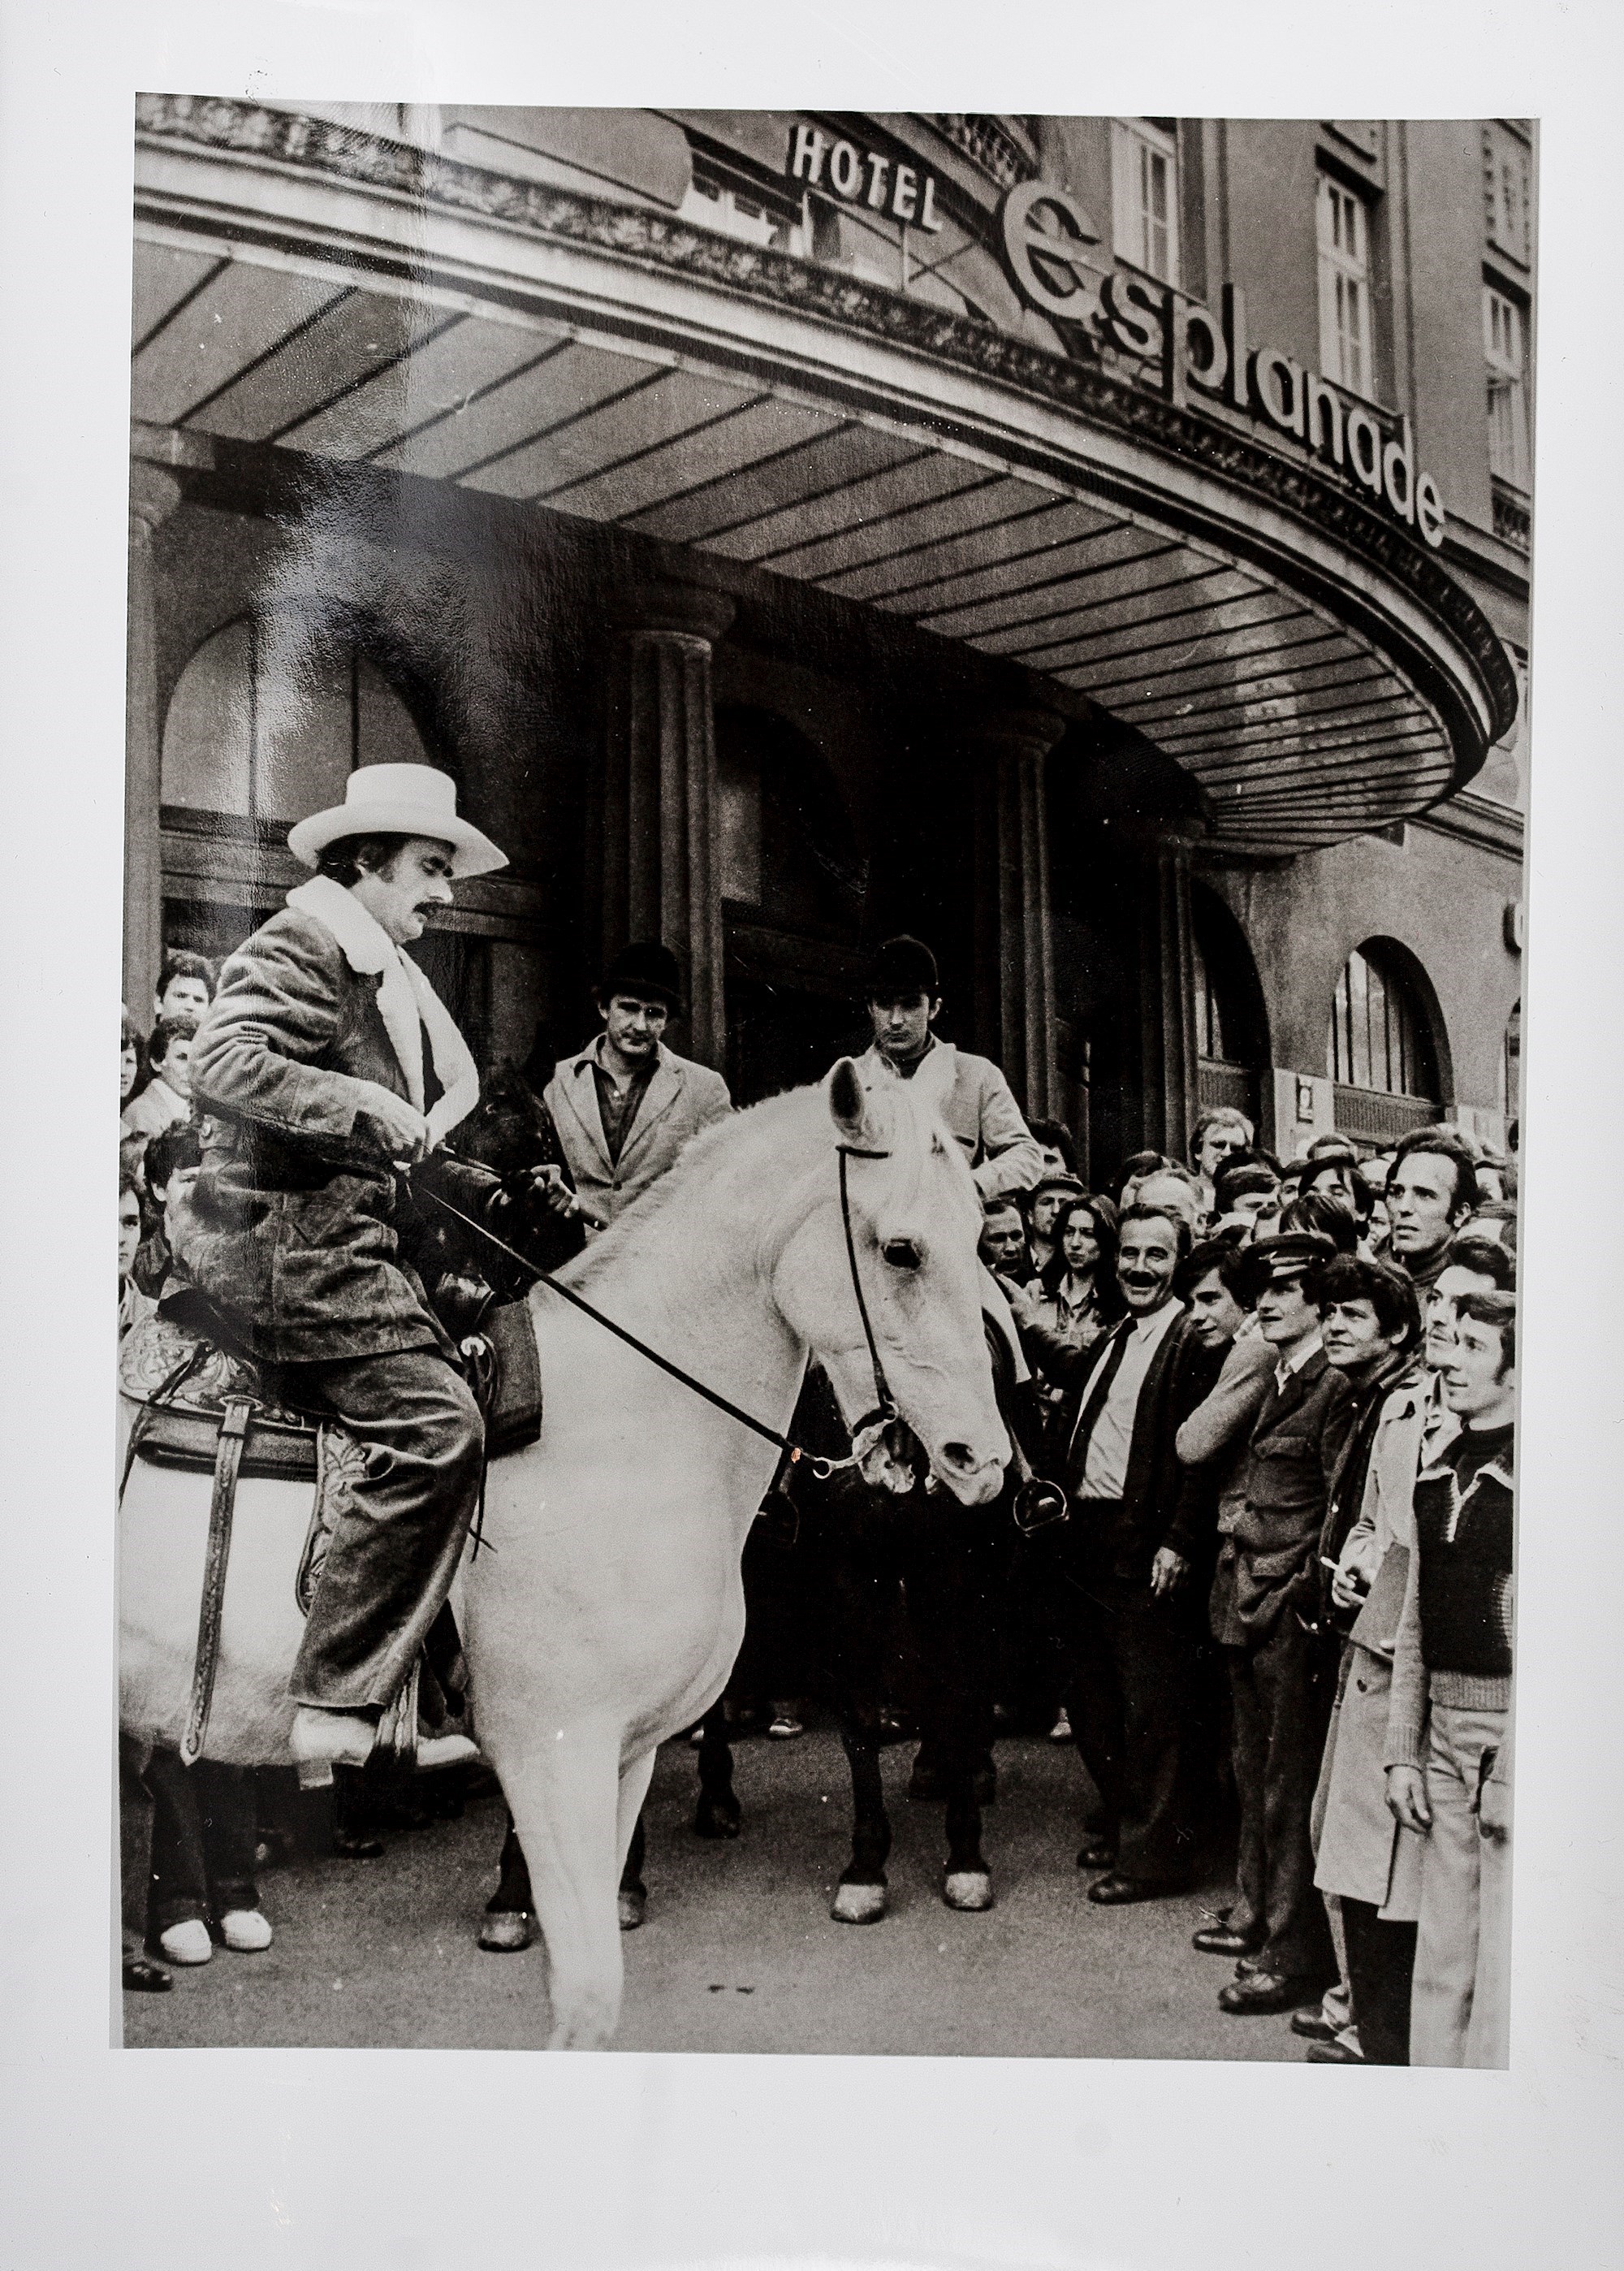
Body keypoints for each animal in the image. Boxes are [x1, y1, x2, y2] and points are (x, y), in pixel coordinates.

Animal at [118, 1059, 1008, 2047]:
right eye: (901, 1251)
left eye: (979, 1235)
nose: (981, 1460)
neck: (622, 1423)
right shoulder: (554, 1756)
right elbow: (585, 1991)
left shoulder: (624, 1756)